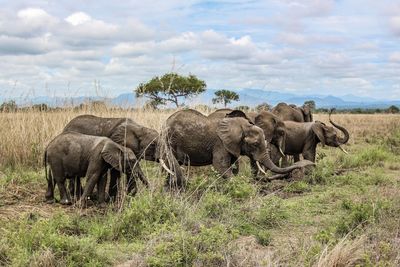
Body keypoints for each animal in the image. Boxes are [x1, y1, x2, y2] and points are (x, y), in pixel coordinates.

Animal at [162, 109, 312, 186]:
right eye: (281, 132)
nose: (306, 164)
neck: (242, 125)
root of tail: (166, 122)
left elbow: (234, 166)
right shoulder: (220, 143)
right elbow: (220, 165)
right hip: (170, 141)